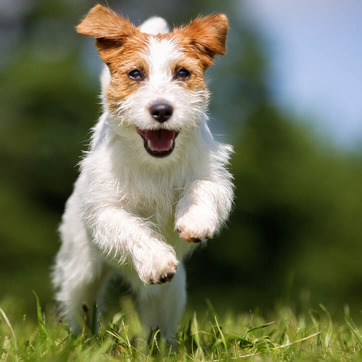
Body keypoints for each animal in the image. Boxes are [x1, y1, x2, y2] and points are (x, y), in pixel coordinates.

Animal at [52, 4, 235, 340]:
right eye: (135, 74)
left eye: (182, 73)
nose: (161, 110)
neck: (154, 164)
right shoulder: (106, 208)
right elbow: (131, 227)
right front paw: (156, 260)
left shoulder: (212, 174)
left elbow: (202, 188)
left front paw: (195, 221)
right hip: (80, 272)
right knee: (81, 306)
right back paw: (83, 342)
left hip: (170, 295)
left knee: (157, 324)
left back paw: (157, 346)